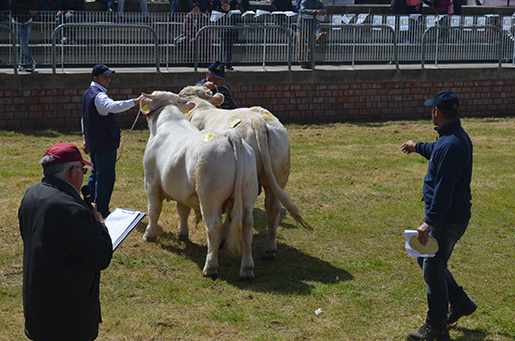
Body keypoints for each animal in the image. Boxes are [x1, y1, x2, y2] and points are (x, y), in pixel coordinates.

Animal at [140, 90, 258, 278]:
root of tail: (229, 135)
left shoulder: (151, 183)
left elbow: (154, 210)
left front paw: (149, 235)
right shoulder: (181, 189)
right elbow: (183, 210)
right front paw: (182, 233)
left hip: (209, 198)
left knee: (214, 227)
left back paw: (210, 267)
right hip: (248, 194)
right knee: (247, 226)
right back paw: (246, 269)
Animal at [179, 84, 312, 258]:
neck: (200, 107)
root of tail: (258, 121)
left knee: (235, 211)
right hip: (277, 179)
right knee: (273, 209)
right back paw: (269, 249)